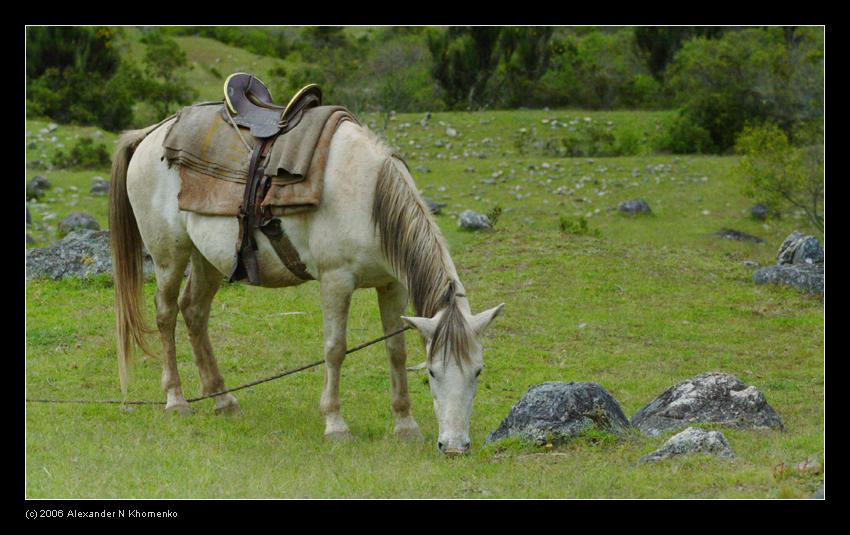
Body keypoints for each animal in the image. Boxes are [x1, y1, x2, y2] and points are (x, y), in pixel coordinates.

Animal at [108, 115, 500, 454]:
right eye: (433, 372)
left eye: (478, 371)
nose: (454, 447)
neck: (368, 197)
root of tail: (152, 134)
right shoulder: (336, 280)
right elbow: (335, 350)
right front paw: (335, 425)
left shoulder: (392, 285)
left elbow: (396, 352)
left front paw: (405, 426)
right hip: (169, 257)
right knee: (166, 315)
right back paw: (176, 399)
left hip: (207, 259)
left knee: (194, 312)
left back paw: (222, 399)